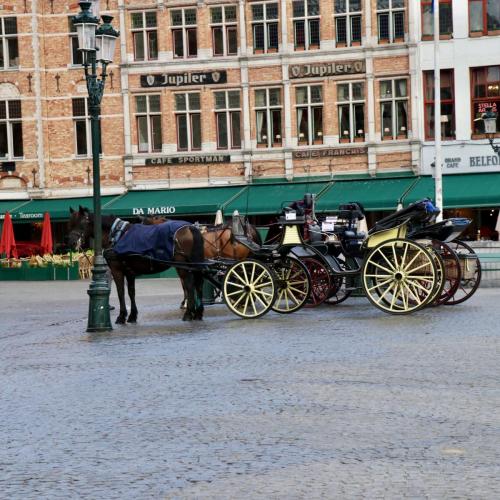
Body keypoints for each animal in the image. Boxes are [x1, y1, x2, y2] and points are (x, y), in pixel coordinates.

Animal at [68, 205, 205, 322]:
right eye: (70, 223)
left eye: (81, 223)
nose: (71, 242)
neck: (117, 235)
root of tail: (190, 227)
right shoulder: (129, 272)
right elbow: (131, 292)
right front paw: (132, 315)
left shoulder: (117, 270)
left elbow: (121, 292)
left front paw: (122, 316)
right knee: (198, 285)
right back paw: (198, 313)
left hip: (183, 267)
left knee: (189, 285)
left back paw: (189, 313)